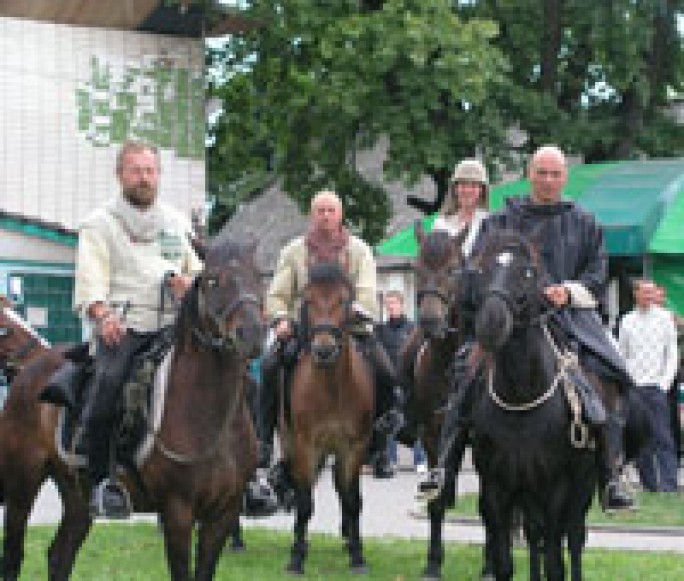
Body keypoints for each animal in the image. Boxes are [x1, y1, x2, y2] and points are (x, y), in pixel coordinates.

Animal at [0, 236, 264, 580]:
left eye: (261, 276)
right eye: (212, 280)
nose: (253, 334)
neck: (213, 420)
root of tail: (31, 366)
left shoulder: (223, 514)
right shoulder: (178, 512)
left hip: (77, 494)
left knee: (60, 555)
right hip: (23, 484)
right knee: (13, 555)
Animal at [282, 262, 376, 576]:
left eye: (344, 301)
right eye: (307, 300)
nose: (323, 349)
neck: (332, 389)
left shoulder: (354, 447)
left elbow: (353, 500)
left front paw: (357, 556)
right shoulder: (304, 446)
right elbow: (304, 503)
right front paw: (296, 558)